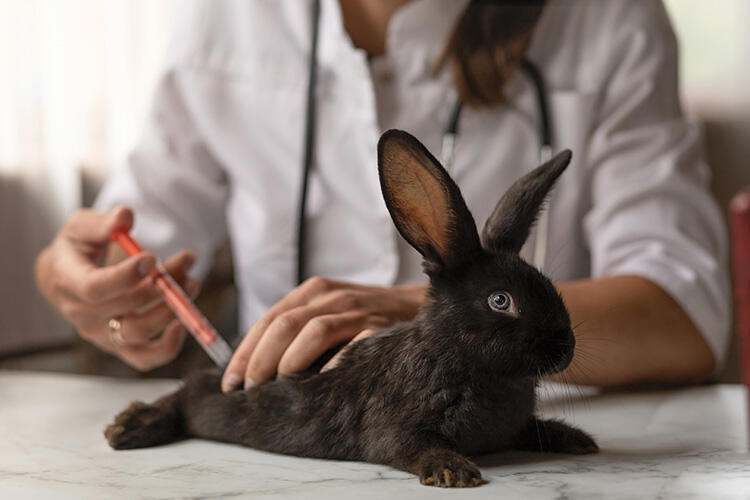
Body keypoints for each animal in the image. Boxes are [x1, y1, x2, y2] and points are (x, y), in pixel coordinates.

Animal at [107, 130, 600, 488]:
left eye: (549, 286)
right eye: (501, 301)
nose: (566, 348)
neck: (458, 356)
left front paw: (576, 439)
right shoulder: (396, 427)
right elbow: (409, 446)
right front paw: (453, 471)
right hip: (208, 394)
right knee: (183, 394)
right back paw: (130, 426)